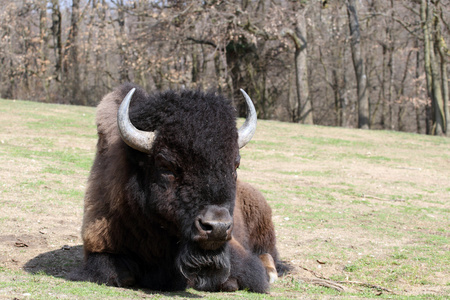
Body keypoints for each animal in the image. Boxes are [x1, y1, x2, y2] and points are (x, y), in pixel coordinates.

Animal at [77, 84, 286, 292]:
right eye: (166, 165)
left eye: (235, 165)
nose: (217, 227)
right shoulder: (99, 246)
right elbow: (117, 275)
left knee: (269, 255)